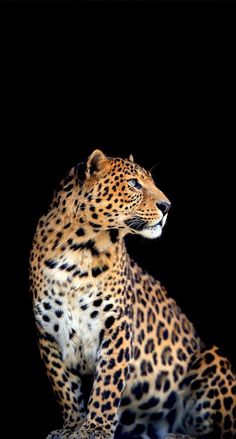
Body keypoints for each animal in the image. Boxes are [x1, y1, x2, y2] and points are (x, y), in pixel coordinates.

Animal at [30, 150, 236, 439]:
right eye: (133, 183)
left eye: (151, 182)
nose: (167, 206)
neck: (79, 251)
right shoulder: (48, 333)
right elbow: (64, 386)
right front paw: (72, 427)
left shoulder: (116, 325)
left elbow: (107, 383)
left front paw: (95, 429)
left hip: (213, 358)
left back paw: (175, 435)